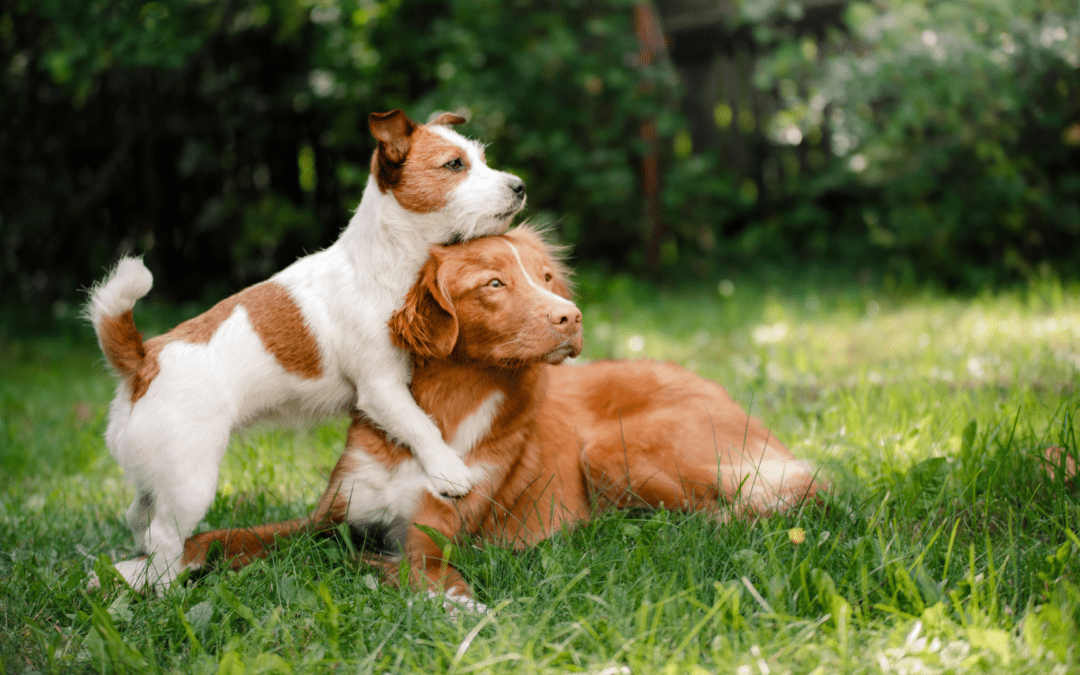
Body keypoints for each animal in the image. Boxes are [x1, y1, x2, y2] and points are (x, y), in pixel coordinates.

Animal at [86, 108, 524, 587]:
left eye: (483, 160)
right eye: (453, 165)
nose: (519, 186)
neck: (384, 262)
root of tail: (143, 360)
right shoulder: (381, 387)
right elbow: (419, 425)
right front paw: (449, 470)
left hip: (157, 476)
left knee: (138, 515)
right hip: (190, 483)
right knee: (163, 537)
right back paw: (166, 589)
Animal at [181, 228, 820, 609]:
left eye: (546, 278)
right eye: (494, 283)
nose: (572, 317)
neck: (441, 412)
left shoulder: (430, 542)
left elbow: (385, 565)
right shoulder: (332, 513)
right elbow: (228, 535)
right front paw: (166, 566)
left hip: (612, 452)